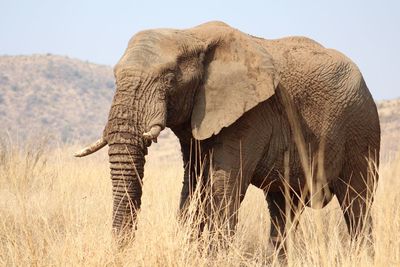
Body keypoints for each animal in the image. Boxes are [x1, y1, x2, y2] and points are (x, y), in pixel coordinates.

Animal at [74, 21, 378, 253]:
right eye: (115, 77)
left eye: (170, 79)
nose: (120, 250)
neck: (190, 35)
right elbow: (195, 183)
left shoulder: (251, 114)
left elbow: (223, 183)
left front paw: (213, 256)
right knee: (283, 209)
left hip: (361, 129)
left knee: (357, 202)